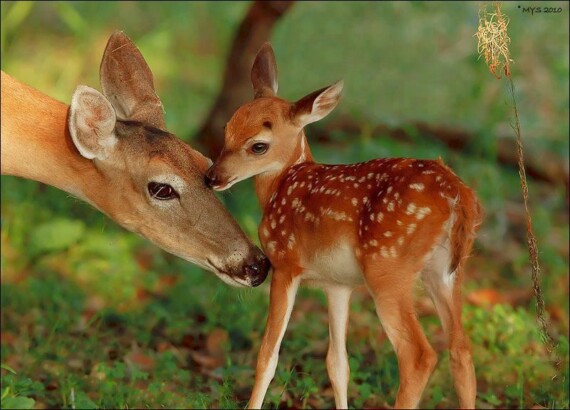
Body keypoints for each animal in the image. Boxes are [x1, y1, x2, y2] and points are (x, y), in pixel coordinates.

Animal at [204, 43, 480, 408]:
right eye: (227, 130)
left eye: (258, 145)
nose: (212, 177)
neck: (282, 185)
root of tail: (457, 194)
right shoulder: (338, 284)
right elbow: (338, 364)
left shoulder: (285, 263)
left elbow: (268, 354)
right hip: (446, 271)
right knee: (461, 350)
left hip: (387, 267)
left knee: (419, 356)